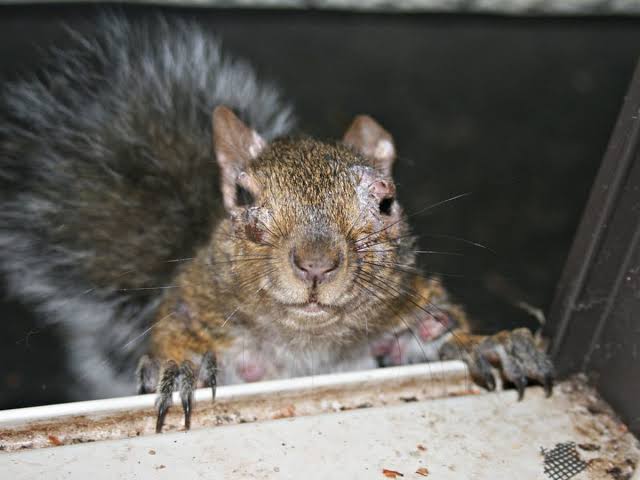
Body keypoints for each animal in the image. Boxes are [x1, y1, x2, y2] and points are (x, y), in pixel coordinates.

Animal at [0, 15, 553, 432]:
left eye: (387, 203)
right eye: (244, 198)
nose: (316, 265)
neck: (308, 344)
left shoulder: (409, 320)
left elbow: (438, 340)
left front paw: (495, 345)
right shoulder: (193, 308)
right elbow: (178, 340)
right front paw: (182, 369)